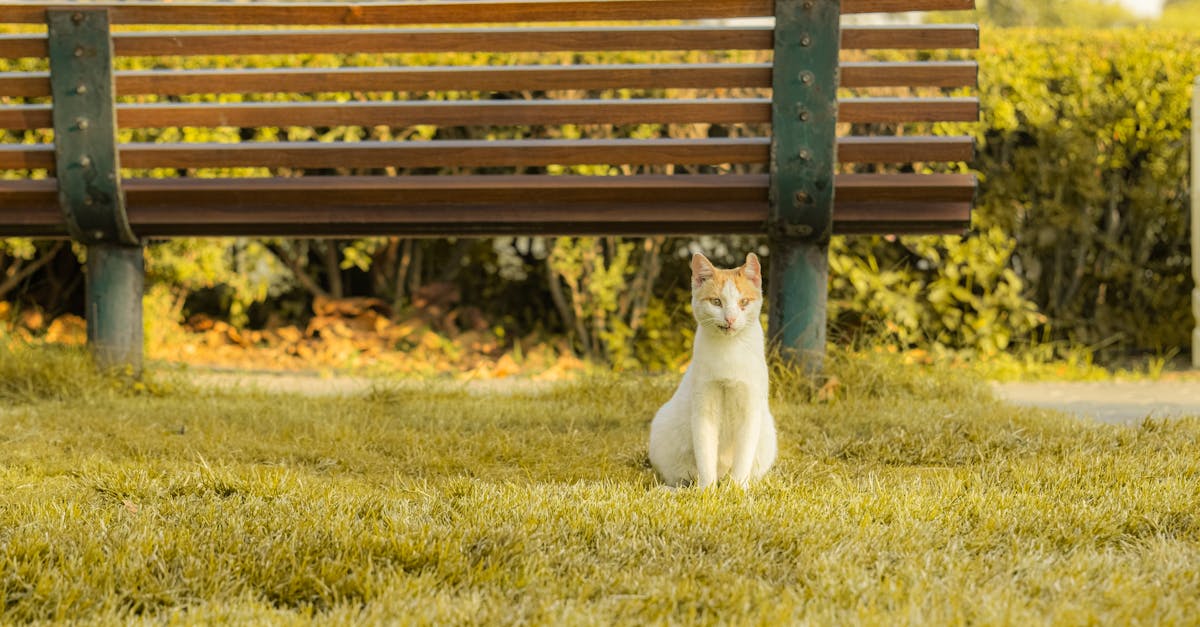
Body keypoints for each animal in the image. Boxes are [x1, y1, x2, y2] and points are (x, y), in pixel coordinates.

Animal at [648, 251, 777, 485]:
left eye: (744, 302)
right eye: (716, 302)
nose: (730, 318)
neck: (729, 349)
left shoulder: (750, 409)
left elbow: (743, 458)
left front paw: (737, 488)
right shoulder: (704, 408)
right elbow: (705, 457)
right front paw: (707, 490)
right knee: (680, 478)